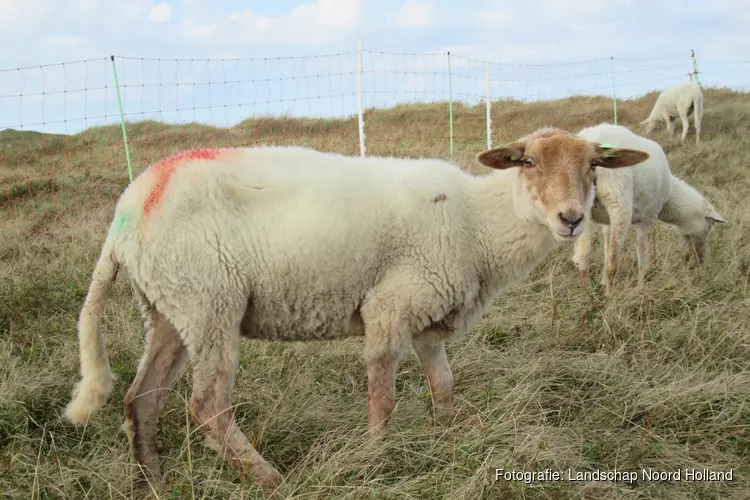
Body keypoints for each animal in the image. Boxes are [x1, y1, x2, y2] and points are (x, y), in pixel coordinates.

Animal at [63, 131, 652, 490]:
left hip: (171, 308)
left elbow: (444, 388)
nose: (572, 219)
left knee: (142, 399)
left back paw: (153, 484)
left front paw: (449, 440)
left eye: (594, 165)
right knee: (207, 405)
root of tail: (128, 210)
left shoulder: (428, 319)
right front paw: (374, 458)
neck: (477, 221)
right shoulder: (390, 306)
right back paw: (272, 480)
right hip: (210, 304)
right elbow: (383, 398)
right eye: (527, 162)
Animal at [572, 122, 724, 292]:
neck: (669, 197)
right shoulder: (647, 218)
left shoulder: (607, 223)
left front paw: (602, 281)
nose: (699, 258)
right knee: (613, 261)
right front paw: (640, 286)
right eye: (710, 225)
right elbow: (642, 252)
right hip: (619, 203)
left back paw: (589, 293)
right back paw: (609, 294)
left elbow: (605, 248)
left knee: (583, 258)